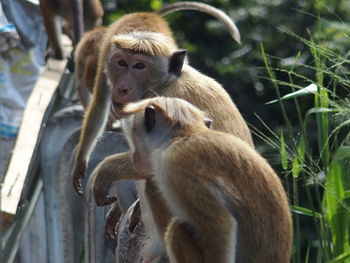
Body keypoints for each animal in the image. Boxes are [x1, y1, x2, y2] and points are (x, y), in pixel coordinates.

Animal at [119, 97, 292, 263]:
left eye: (135, 135)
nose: (135, 158)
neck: (185, 135)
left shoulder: (177, 165)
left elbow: (221, 226)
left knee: (177, 229)